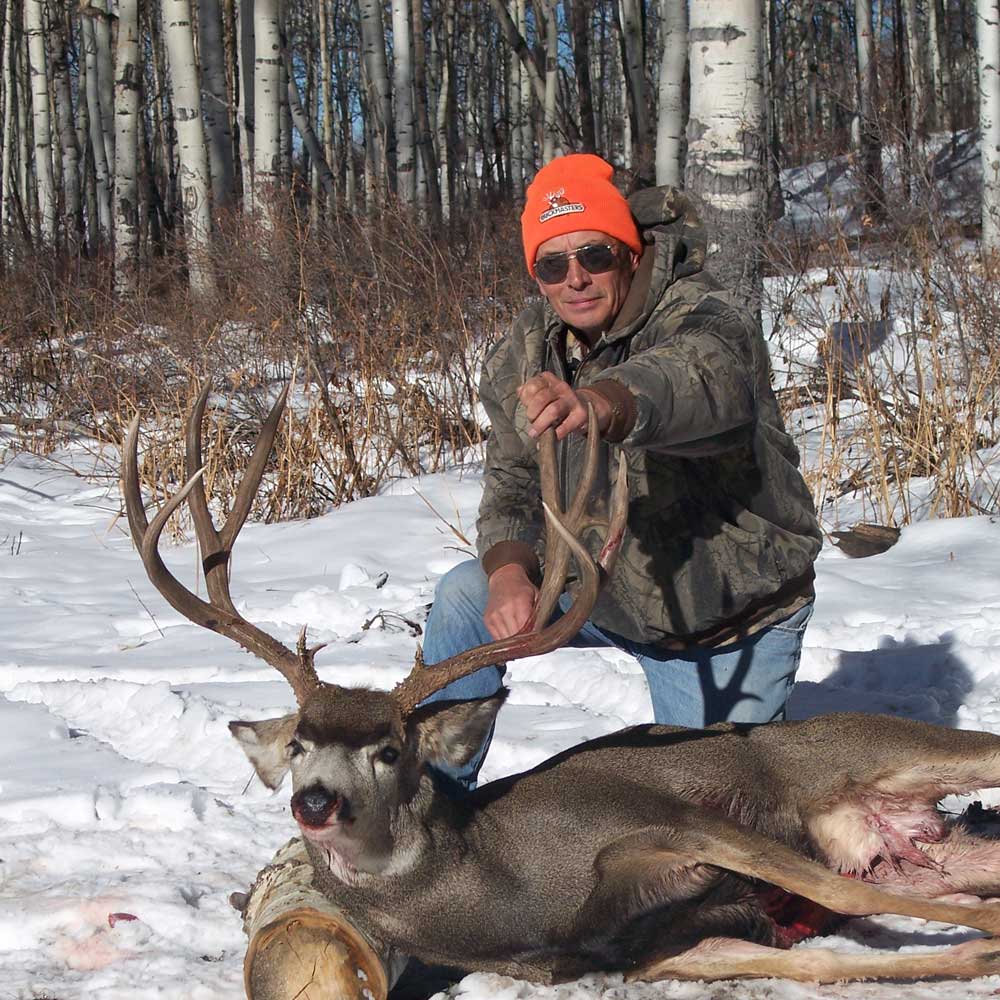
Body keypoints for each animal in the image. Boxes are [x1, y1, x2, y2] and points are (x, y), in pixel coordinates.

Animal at [125, 382, 1000, 984]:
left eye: (389, 749)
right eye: (300, 743)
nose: (314, 803)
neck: (511, 895)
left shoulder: (671, 817)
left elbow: (841, 895)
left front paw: (982, 935)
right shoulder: (650, 949)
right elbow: (837, 955)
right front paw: (976, 944)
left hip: (866, 748)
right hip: (931, 840)